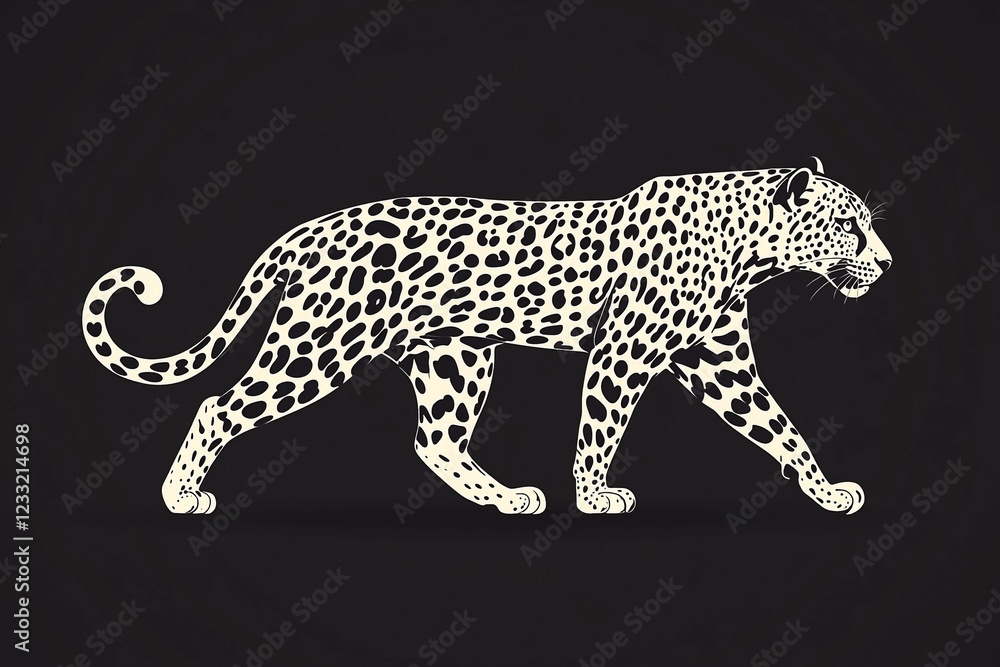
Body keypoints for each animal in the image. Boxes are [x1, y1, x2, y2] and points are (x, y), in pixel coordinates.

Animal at [82, 157, 891, 516]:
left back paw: (507, 497)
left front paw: (826, 490)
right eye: (851, 226)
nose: (886, 263)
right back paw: (181, 494)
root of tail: (308, 230)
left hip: (454, 358)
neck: (749, 250)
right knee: (218, 405)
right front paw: (594, 496)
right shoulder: (624, 353)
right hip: (320, 346)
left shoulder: (719, 361)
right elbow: (598, 431)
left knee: (436, 441)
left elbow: (782, 428)